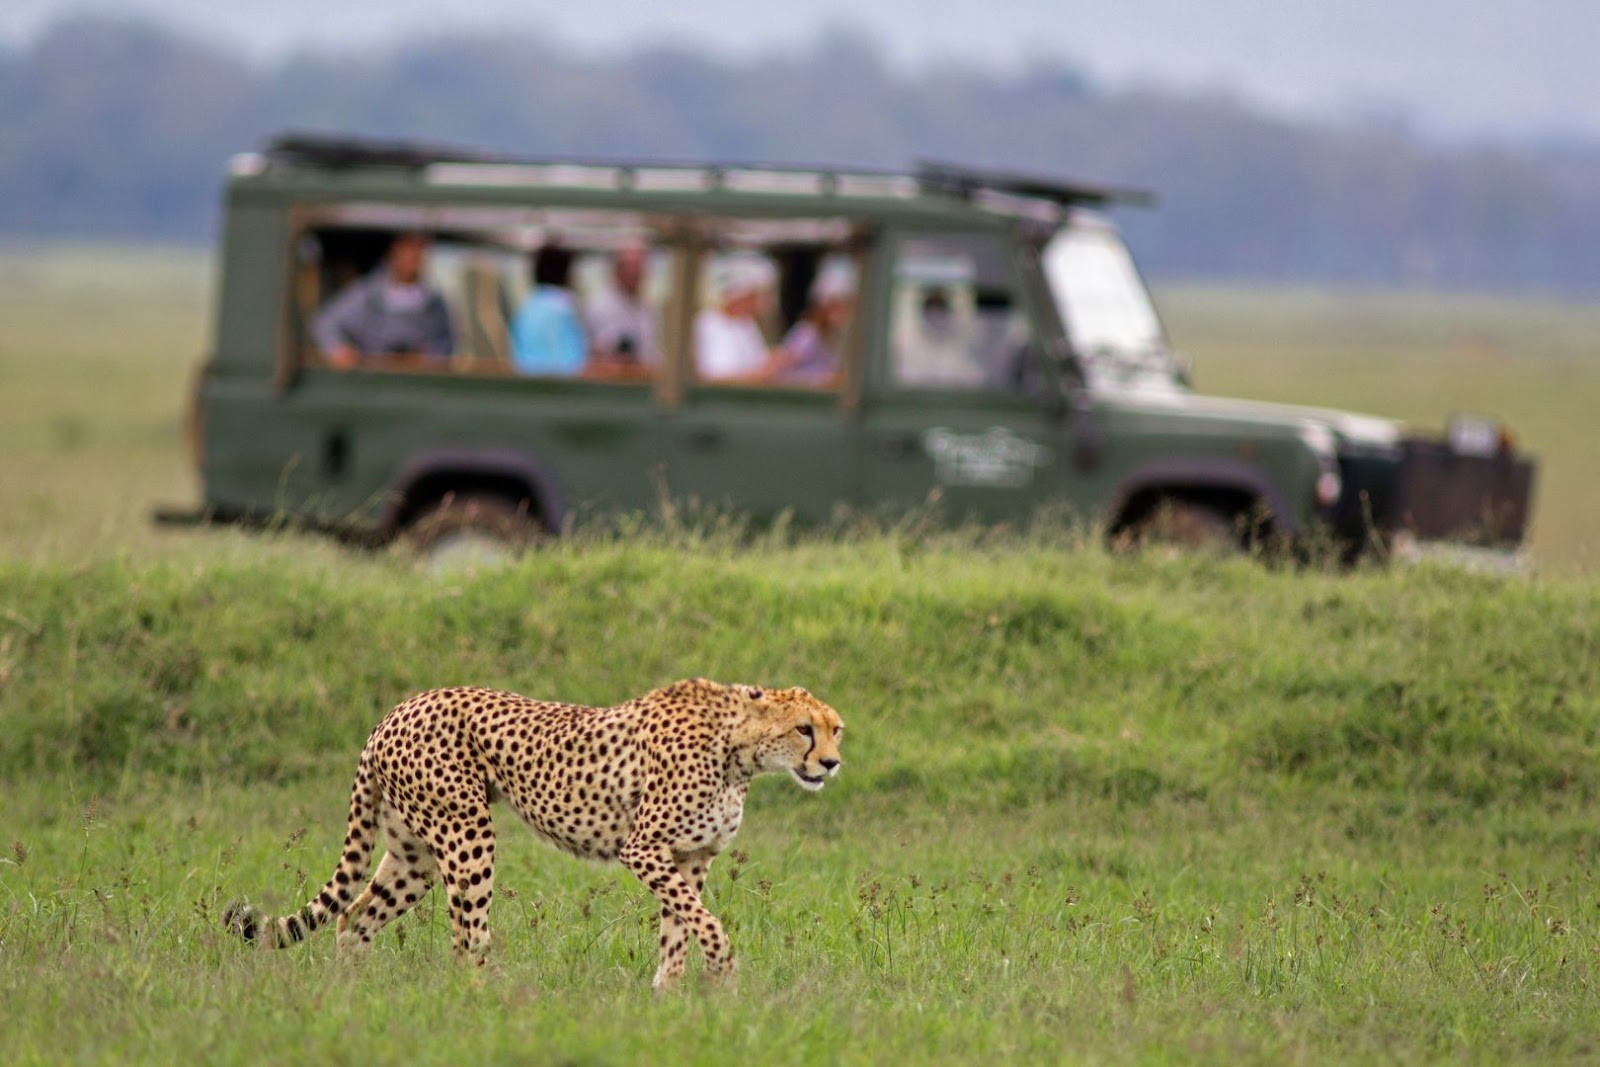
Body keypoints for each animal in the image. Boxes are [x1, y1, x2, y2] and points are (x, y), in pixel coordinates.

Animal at [223, 678, 844, 989]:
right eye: (803, 729)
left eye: (836, 730)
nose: (832, 763)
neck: (741, 750)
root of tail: (395, 711)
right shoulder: (644, 849)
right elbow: (706, 923)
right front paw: (725, 974)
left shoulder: (690, 858)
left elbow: (680, 929)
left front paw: (670, 998)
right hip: (467, 833)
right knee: (465, 938)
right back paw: (490, 1002)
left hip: (414, 854)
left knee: (354, 919)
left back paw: (355, 997)